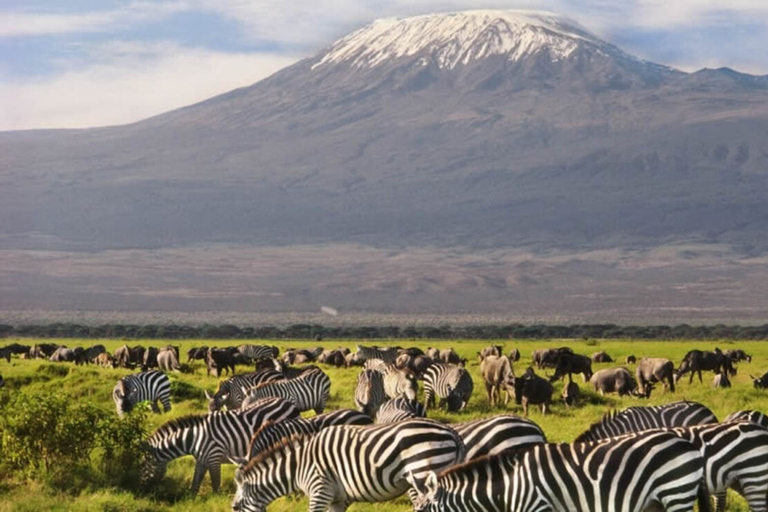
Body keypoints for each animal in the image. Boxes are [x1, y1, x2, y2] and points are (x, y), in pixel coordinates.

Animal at [144, 396, 300, 496]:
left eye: (142, 465)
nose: (145, 491)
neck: (193, 438)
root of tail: (289, 402)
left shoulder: (214, 457)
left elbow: (215, 484)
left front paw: (216, 499)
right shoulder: (201, 459)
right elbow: (196, 481)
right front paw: (191, 498)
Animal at [231, 420, 464, 512]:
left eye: (235, 507)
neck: (298, 466)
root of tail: (451, 431)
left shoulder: (319, 490)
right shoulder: (338, 499)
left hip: (424, 472)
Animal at [412, 428, 712, 512]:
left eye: (423, 511)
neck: (509, 486)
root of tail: (688, 443)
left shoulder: (535, 506)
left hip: (676, 493)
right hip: (656, 503)